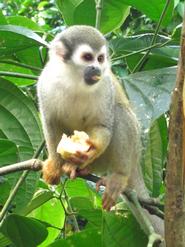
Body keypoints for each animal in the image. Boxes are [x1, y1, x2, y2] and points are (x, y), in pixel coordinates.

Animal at [37, 25, 146, 210]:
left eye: (100, 59)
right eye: (88, 57)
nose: (96, 68)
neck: (74, 80)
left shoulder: (105, 85)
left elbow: (102, 126)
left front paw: (92, 149)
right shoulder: (45, 83)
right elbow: (50, 123)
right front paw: (55, 165)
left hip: (130, 150)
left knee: (119, 112)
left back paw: (118, 175)